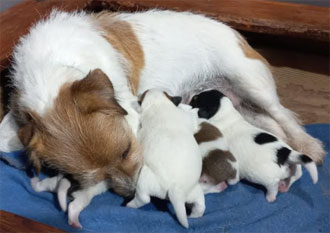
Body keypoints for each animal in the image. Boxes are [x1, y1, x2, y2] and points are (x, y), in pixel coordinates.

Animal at [127, 89, 205, 228]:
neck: (159, 104)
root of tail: (176, 189)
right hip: (192, 191)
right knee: (200, 205)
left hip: (148, 178)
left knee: (144, 198)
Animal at [189, 90, 318, 203]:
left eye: (195, 99)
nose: (190, 96)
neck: (224, 113)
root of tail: (284, 153)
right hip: (295, 168)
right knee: (294, 177)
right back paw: (284, 186)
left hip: (268, 178)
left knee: (273, 186)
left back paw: (271, 197)